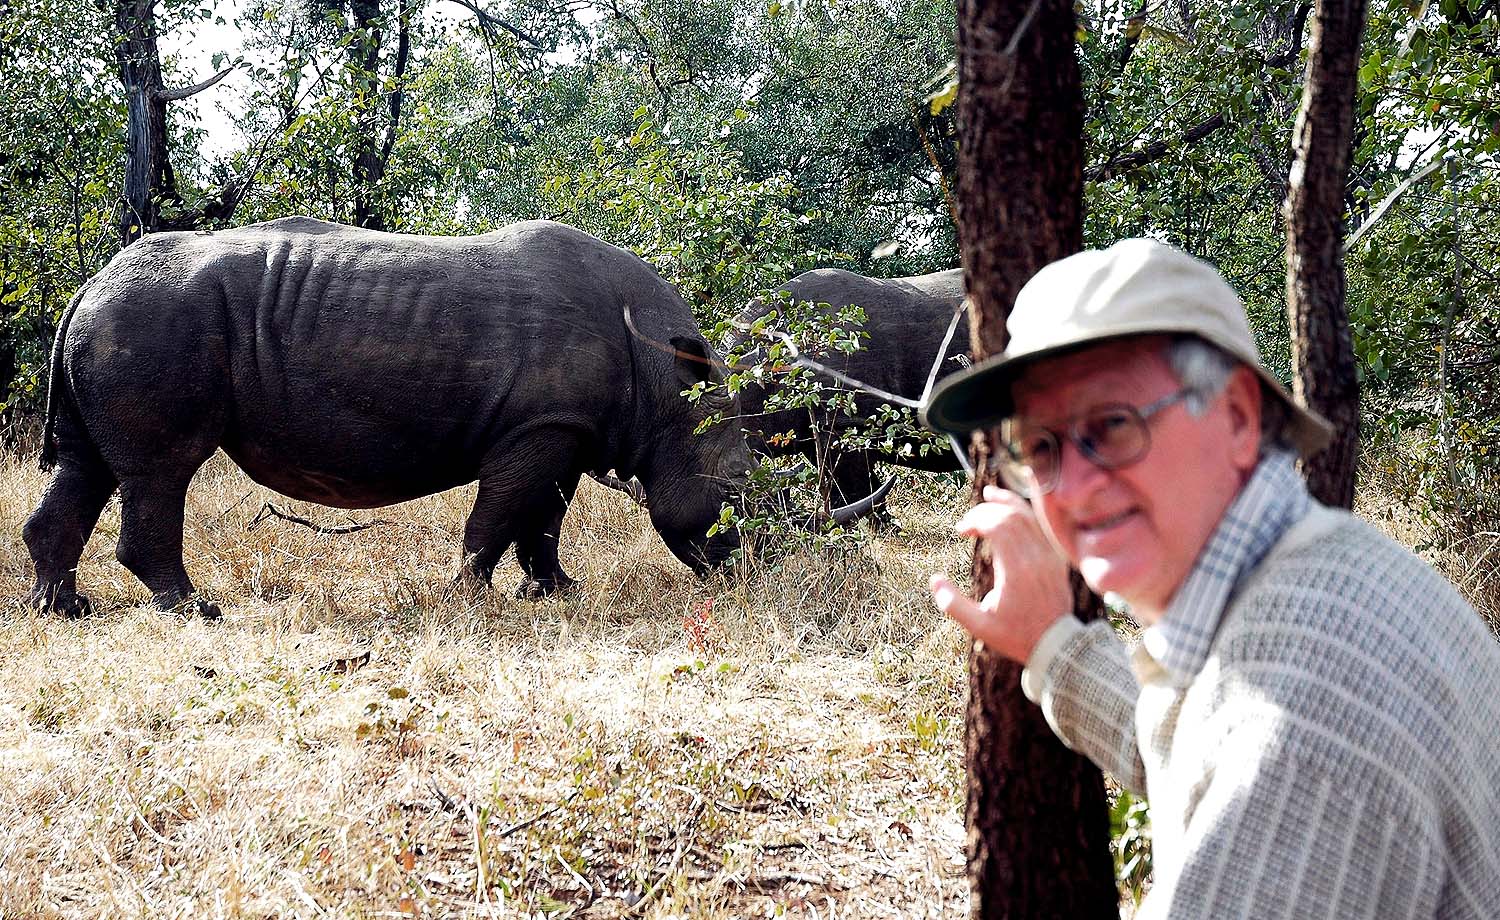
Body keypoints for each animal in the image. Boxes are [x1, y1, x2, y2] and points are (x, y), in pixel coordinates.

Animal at [23, 217, 753, 619]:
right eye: (738, 491)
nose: (755, 570)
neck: (664, 390)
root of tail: (87, 285)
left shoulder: (564, 427)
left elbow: (544, 519)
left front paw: (554, 592)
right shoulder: (541, 427)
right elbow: (499, 517)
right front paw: (466, 597)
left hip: (119, 320)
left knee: (87, 467)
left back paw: (66, 611)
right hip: (149, 318)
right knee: (161, 471)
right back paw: (197, 611)